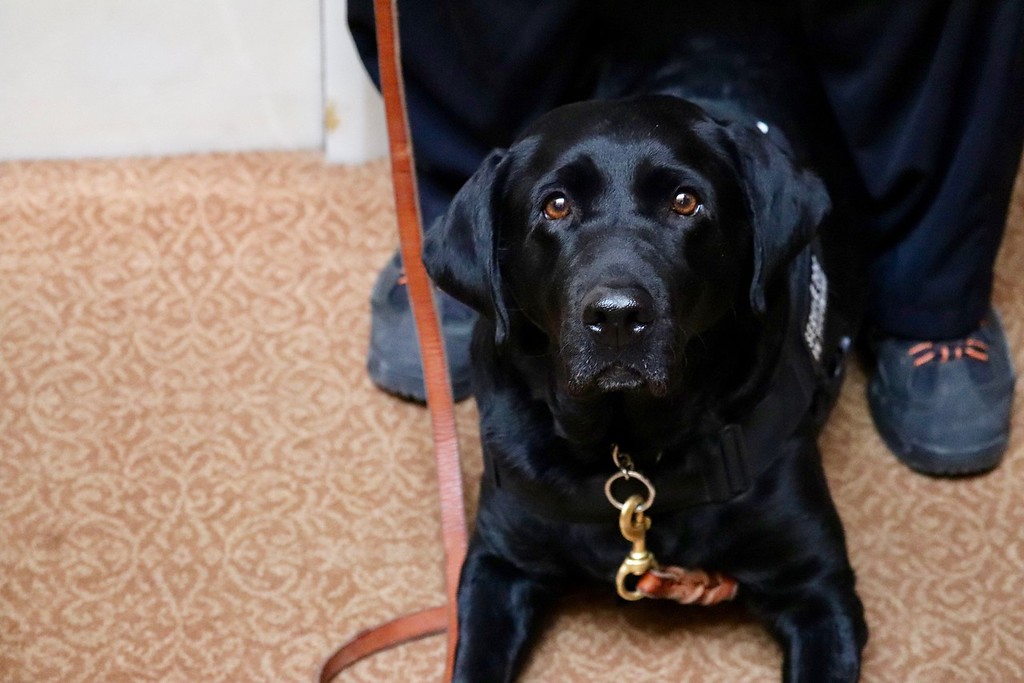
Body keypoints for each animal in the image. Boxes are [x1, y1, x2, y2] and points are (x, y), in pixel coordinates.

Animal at [421, 15, 864, 683]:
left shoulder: (818, 586)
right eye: (555, 205)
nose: (616, 318)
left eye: (686, 201)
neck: (626, 453)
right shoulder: (499, 564)